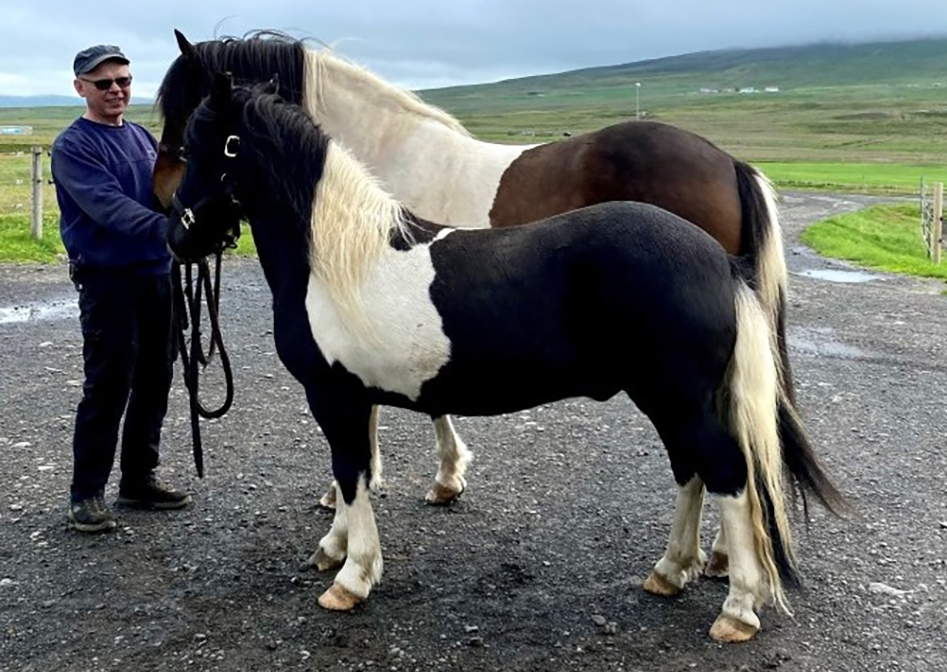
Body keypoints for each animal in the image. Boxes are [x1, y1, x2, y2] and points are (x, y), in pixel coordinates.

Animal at [167, 76, 840, 644]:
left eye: (203, 145)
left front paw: (352, 577)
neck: (339, 261)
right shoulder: (352, 399)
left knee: (725, 473)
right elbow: (355, 471)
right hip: (673, 399)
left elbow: (353, 474)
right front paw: (337, 549)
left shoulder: (335, 396)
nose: (176, 239)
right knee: (691, 471)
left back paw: (738, 608)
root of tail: (716, 258)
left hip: (678, 397)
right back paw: (672, 571)